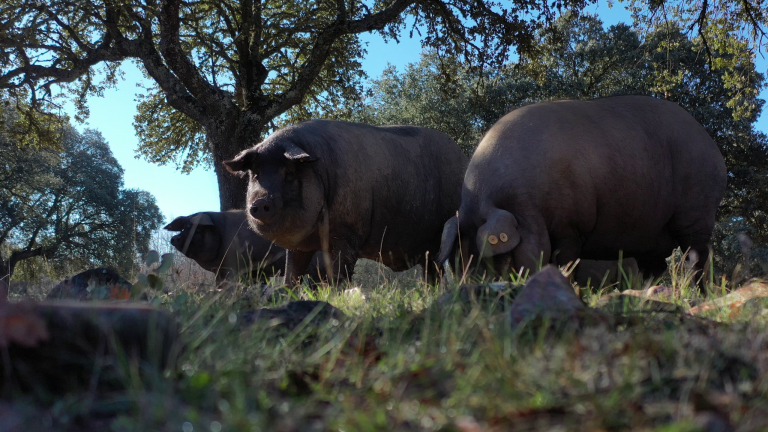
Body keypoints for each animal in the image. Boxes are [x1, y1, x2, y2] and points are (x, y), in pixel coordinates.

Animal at [222, 120, 468, 286]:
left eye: (290, 173)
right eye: (256, 175)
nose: (259, 202)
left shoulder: (347, 234)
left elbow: (339, 276)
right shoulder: (299, 246)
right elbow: (292, 276)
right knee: (432, 273)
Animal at [438, 96, 728, 282]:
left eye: (499, 258)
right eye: (458, 263)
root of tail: (711, 146)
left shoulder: (571, 226)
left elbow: (566, 263)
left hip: (697, 209)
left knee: (696, 257)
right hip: (652, 236)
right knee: (654, 268)